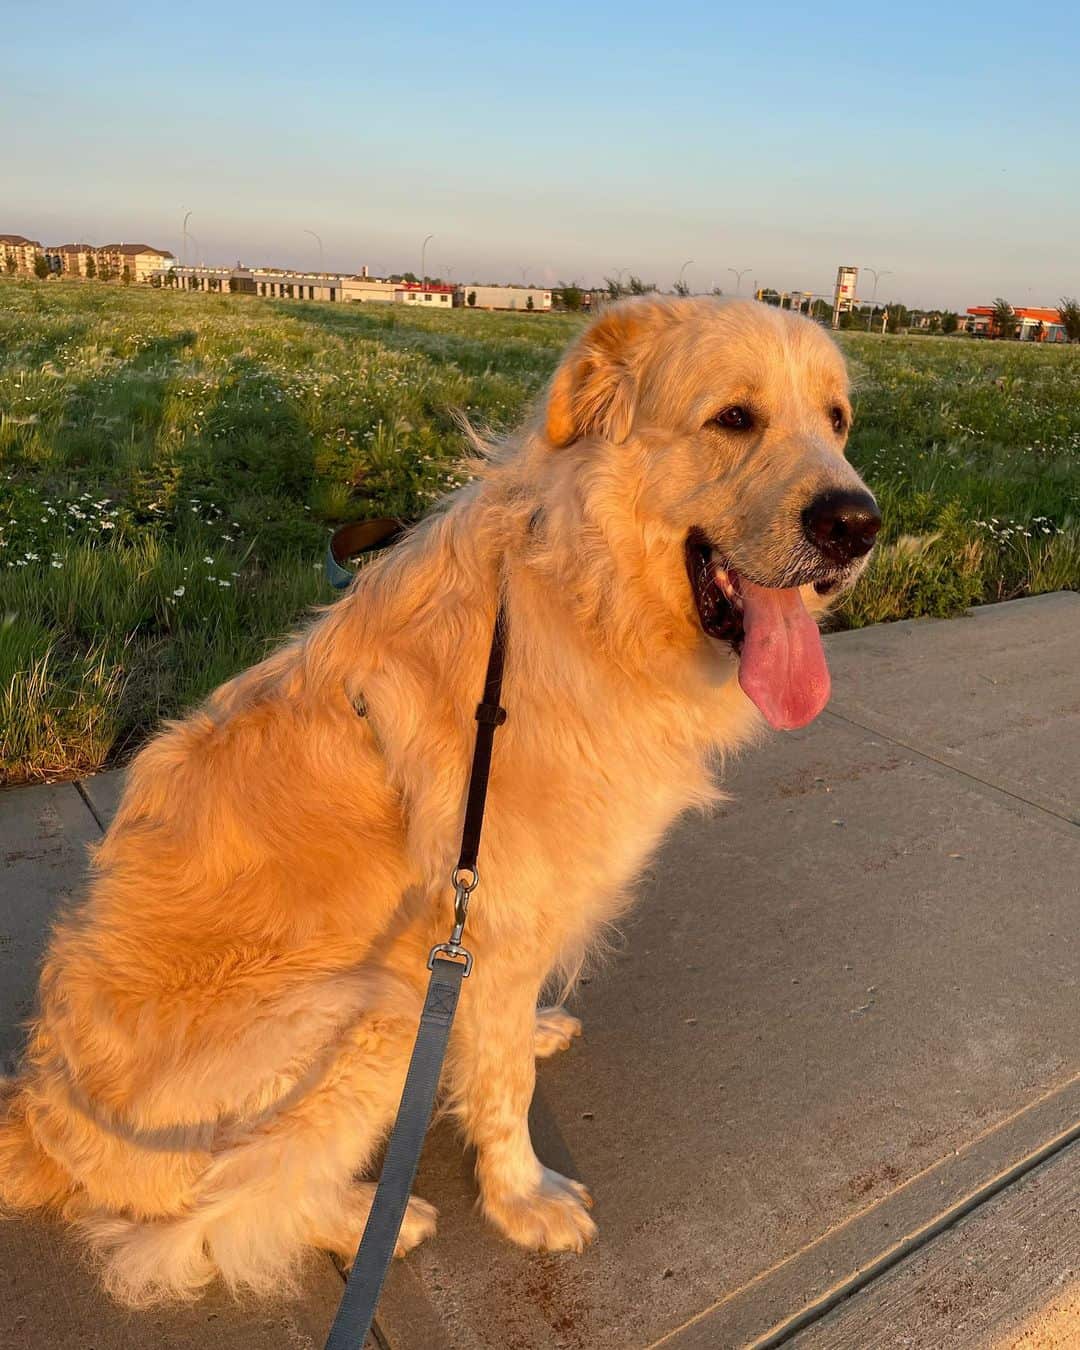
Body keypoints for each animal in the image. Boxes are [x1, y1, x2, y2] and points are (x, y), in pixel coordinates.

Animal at [0, 298, 874, 1306]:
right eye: (734, 417)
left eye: (838, 421)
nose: (859, 525)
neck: (583, 597)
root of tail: (34, 1119)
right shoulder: (488, 923)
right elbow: (502, 1091)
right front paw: (521, 1199)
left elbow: (498, 1041)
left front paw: (527, 1037)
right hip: (372, 1012)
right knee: (216, 1220)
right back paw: (367, 1221)